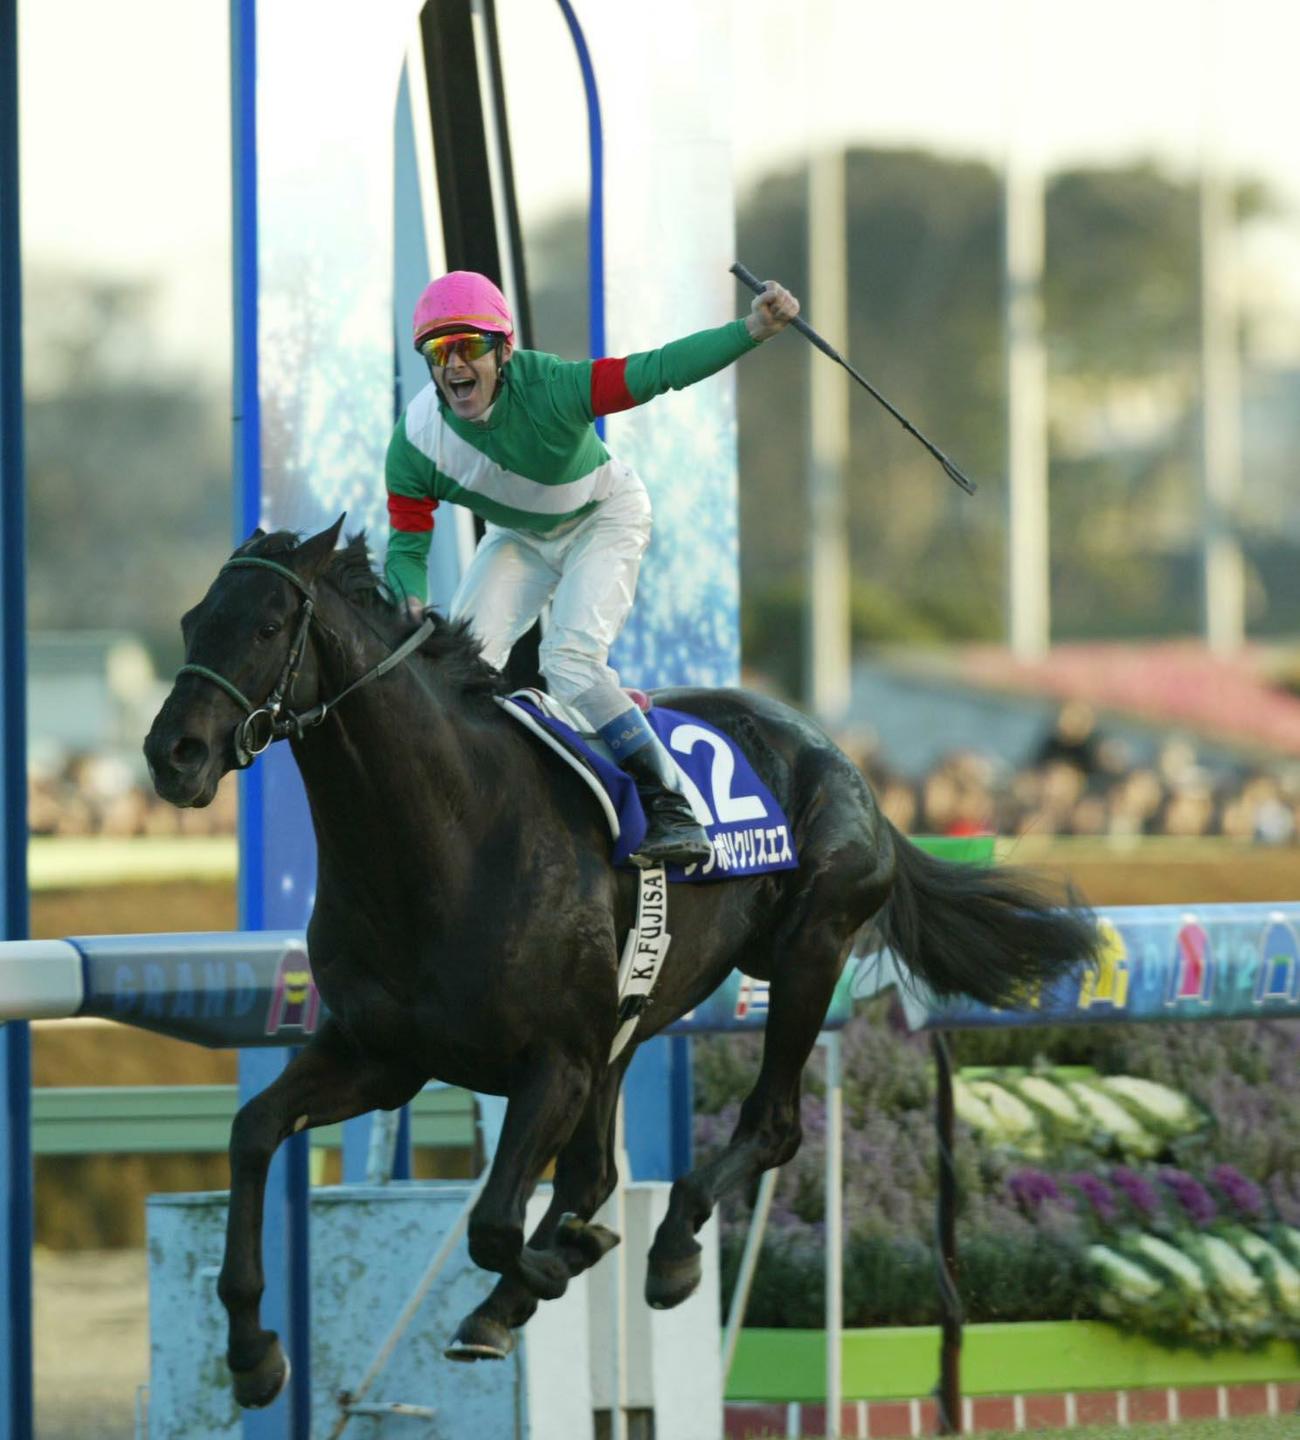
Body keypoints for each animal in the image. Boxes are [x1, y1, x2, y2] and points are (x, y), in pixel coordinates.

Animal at [144, 517, 1100, 1411]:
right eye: (191, 620)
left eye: (268, 625)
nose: (171, 754)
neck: (444, 837)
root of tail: (840, 757)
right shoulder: (383, 1056)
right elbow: (253, 1132)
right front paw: (252, 1352)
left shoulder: (554, 1060)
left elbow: (496, 1223)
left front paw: (553, 1267)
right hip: (635, 1013)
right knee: (598, 1170)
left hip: (807, 952)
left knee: (770, 1126)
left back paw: (668, 1249)